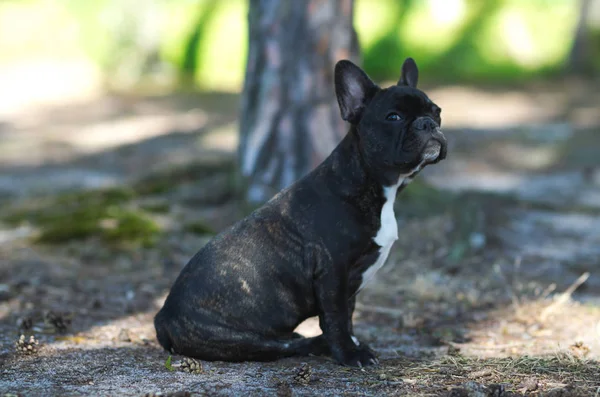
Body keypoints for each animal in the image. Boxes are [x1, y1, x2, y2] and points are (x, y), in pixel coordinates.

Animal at [155, 57, 446, 366]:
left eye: (436, 112)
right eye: (393, 117)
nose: (428, 123)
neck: (372, 182)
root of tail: (162, 317)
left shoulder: (347, 284)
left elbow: (349, 315)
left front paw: (351, 342)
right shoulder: (333, 273)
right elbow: (336, 319)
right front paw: (349, 353)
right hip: (240, 340)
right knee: (285, 346)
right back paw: (315, 343)